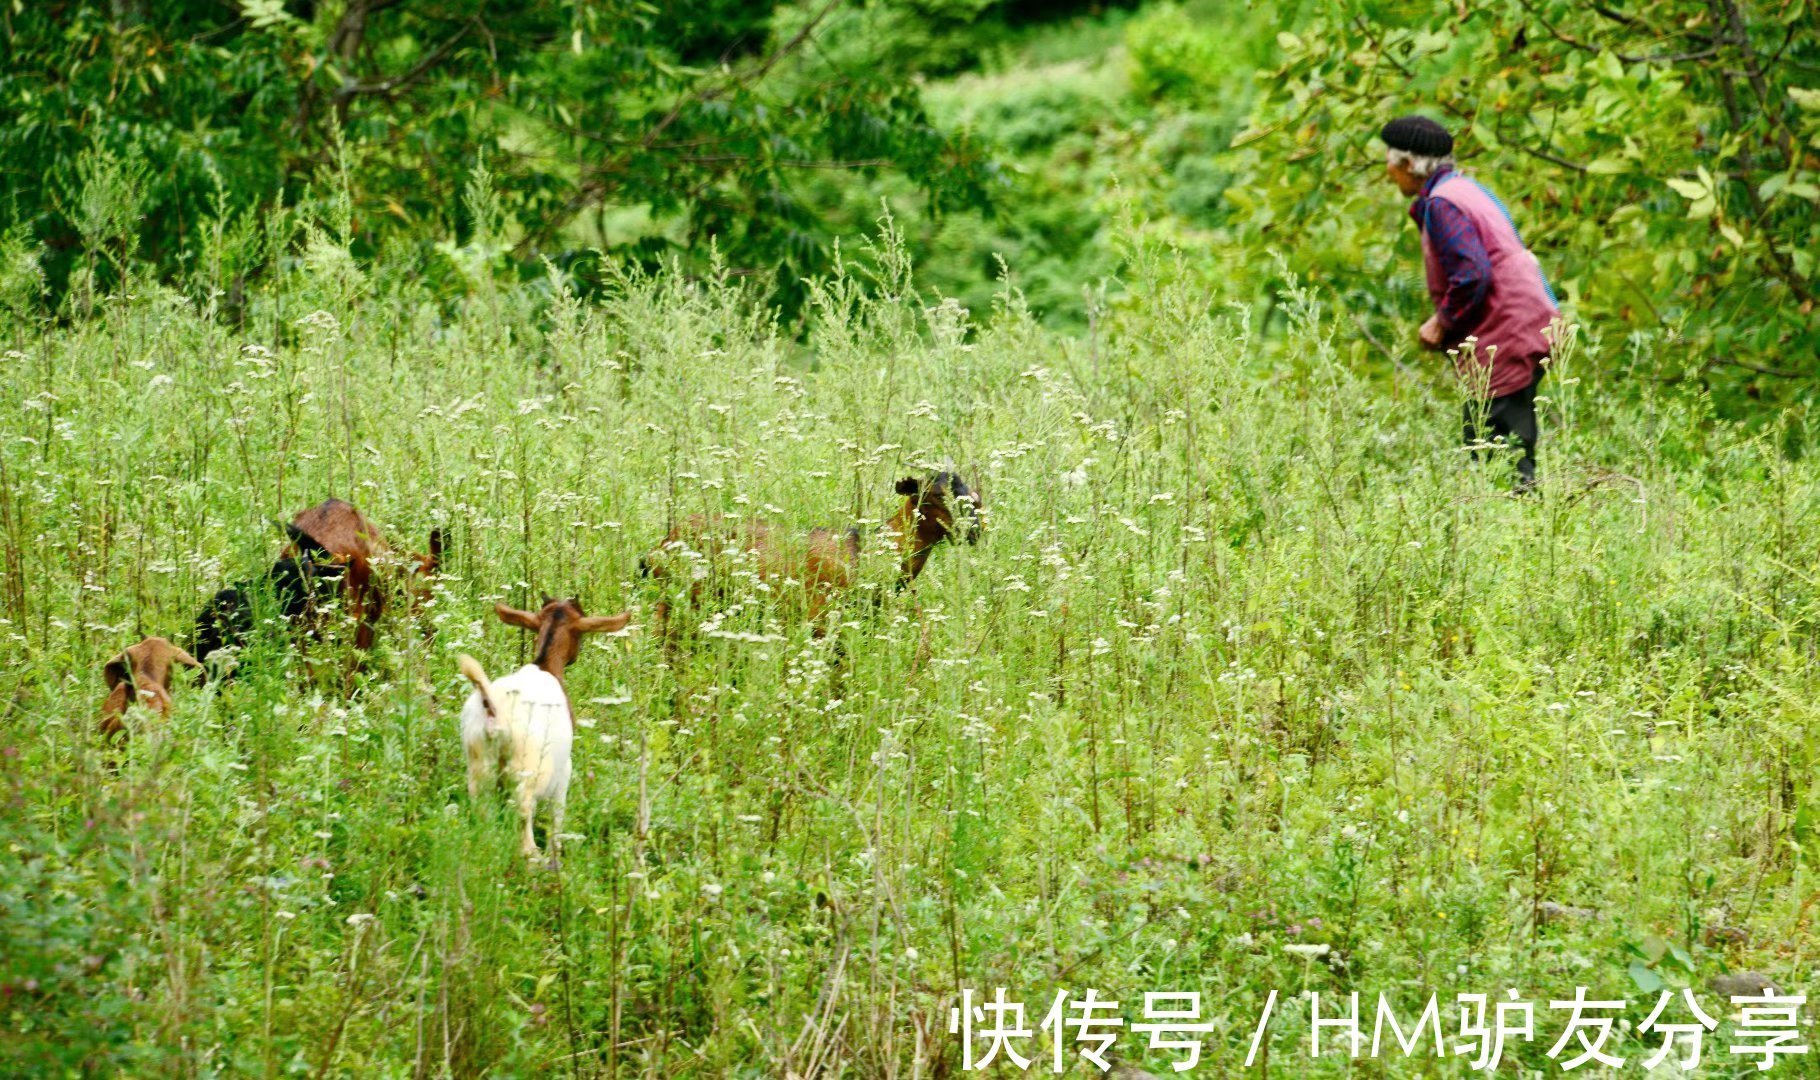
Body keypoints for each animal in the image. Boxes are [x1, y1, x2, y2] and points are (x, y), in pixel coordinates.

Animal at [451, 593, 629, 855]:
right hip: (526, 769)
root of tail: (494, 712)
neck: (545, 665)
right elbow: (557, 820)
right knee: (524, 821)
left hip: (479, 763)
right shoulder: (564, 771)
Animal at [640, 469, 982, 641]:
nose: (974, 530)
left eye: (972, 494)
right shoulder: (819, 619)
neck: (864, 553)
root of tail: (659, 547)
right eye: (933, 496)